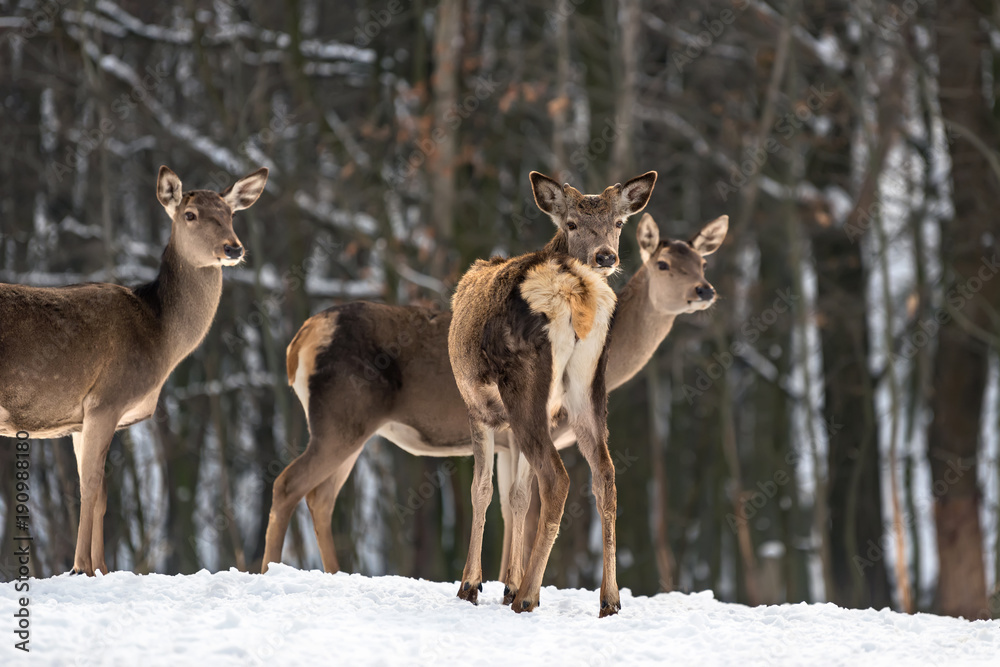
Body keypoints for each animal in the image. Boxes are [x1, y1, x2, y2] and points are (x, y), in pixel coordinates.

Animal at [0, 164, 270, 576]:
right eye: (190, 215)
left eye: (231, 214)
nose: (233, 248)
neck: (158, 337)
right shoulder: (106, 399)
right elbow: (91, 485)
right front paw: (80, 567)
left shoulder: (80, 420)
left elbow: (100, 493)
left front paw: (101, 568)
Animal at [446, 170, 656, 620]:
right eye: (572, 223)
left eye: (619, 223)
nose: (605, 257)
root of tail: (576, 289)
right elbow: (518, 496)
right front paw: (506, 582)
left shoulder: (478, 408)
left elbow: (483, 491)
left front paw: (473, 584)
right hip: (587, 386)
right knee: (605, 474)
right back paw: (609, 599)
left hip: (525, 385)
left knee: (557, 479)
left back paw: (526, 596)